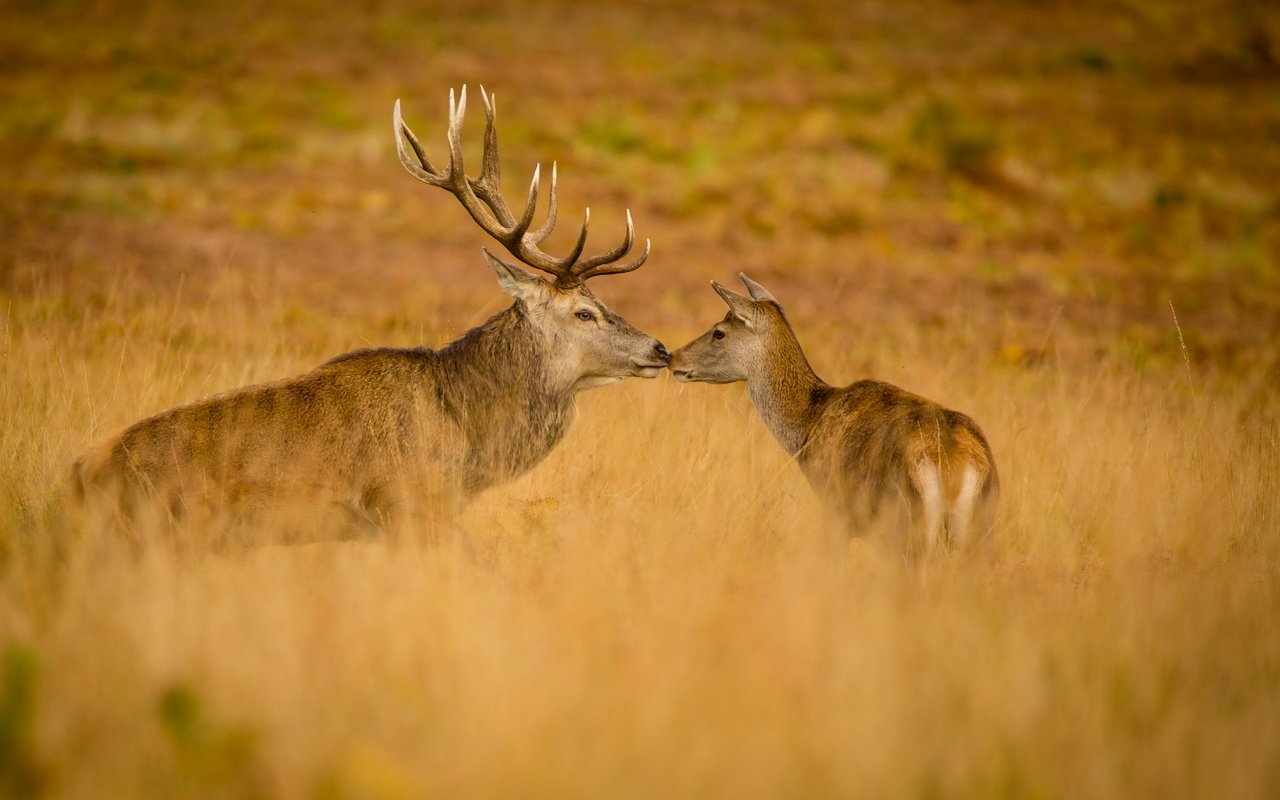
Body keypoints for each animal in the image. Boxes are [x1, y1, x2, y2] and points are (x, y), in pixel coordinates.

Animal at [670, 273, 998, 555]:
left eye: (719, 332)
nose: (673, 357)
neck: (808, 425)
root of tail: (956, 465)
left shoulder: (834, 506)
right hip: (983, 526)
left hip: (903, 522)